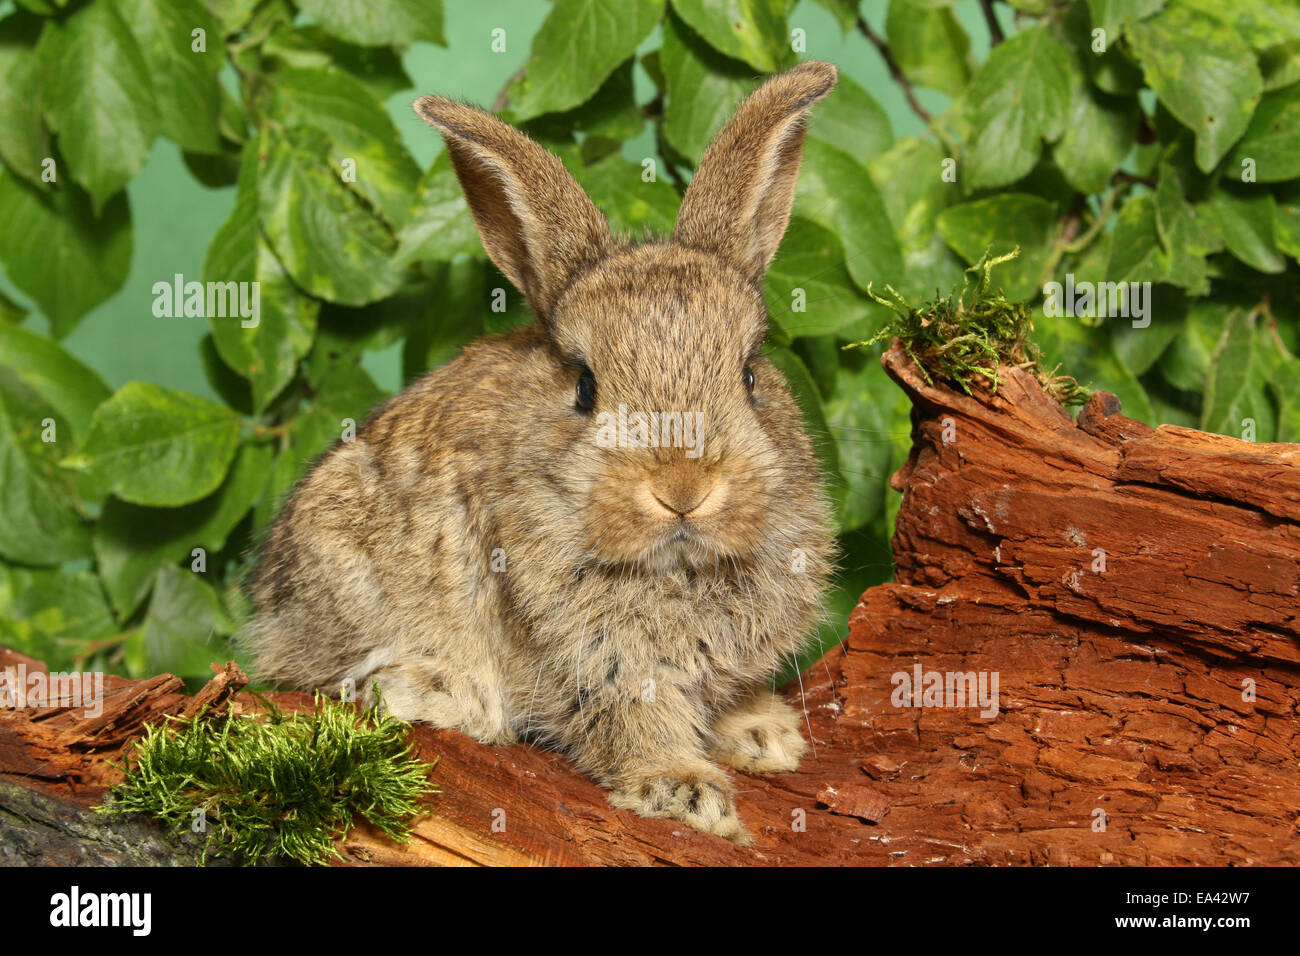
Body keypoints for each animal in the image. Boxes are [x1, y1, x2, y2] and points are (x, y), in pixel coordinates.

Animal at [241, 59, 842, 842]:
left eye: (749, 374)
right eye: (585, 386)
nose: (682, 488)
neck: (676, 566)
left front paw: (765, 733)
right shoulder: (597, 661)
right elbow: (630, 722)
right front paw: (687, 793)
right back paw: (433, 690)